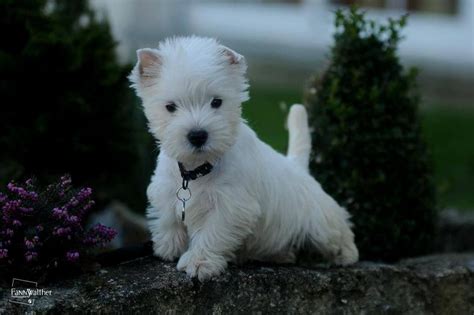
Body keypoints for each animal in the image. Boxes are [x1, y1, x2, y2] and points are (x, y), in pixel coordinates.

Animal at [128, 36, 358, 282]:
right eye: (170, 107)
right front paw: (168, 247)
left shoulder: (231, 205)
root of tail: (298, 167)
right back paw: (282, 254)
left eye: (217, 102)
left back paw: (345, 255)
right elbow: (168, 218)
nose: (198, 135)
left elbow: (212, 232)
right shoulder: (165, 188)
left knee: (339, 233)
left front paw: (199, 262)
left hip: (319, 223)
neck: (198, 169)